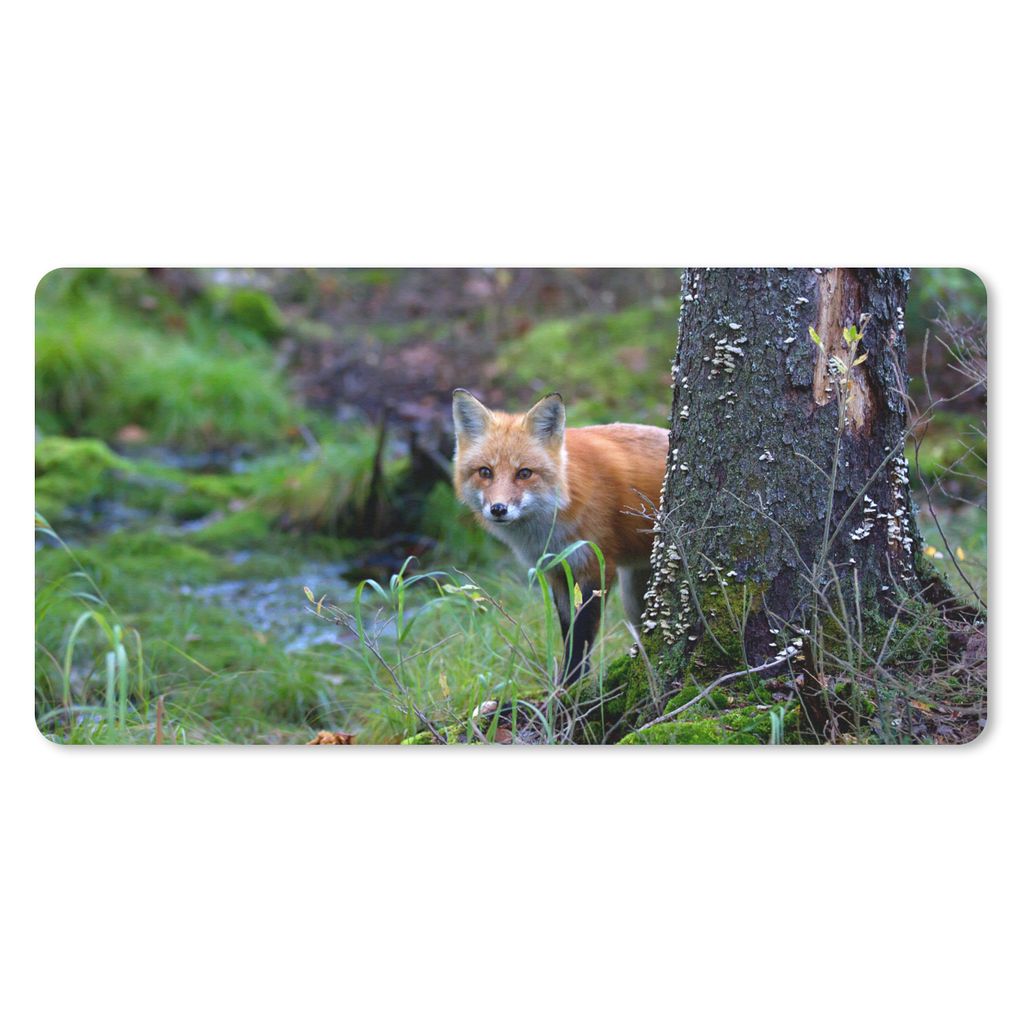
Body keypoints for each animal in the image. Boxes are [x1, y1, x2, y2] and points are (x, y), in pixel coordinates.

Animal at [451, 389, 669, 685]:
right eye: (486, 472)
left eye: (524, 473)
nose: (498, 509)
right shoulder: (556, 569)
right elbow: (568, 630)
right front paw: (568, 683)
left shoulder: (595, 565)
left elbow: (582, 634)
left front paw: (573, 686)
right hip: (634, 595)